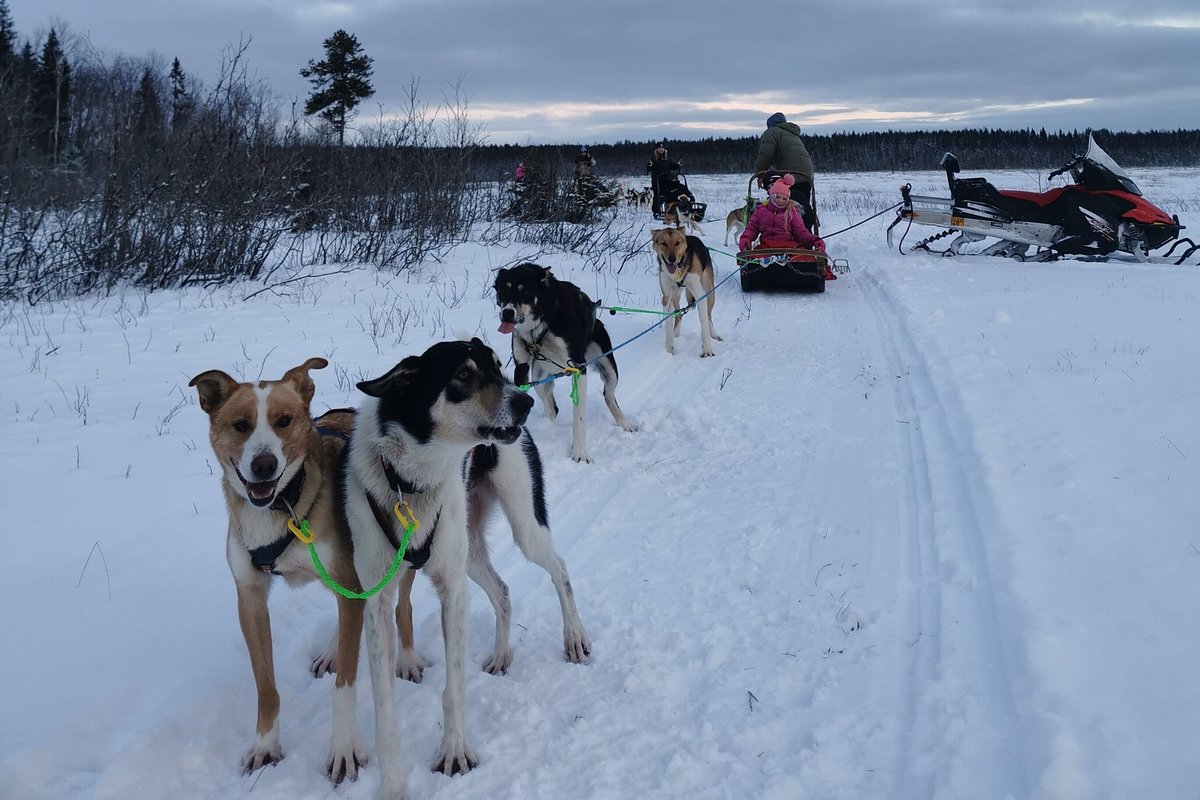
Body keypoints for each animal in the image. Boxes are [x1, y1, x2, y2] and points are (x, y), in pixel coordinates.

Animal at [186, 359, 364, 786]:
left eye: (284, 420)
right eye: (241, 425)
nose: (263, 465)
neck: (283, 506)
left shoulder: (348, 579)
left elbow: (345, 685)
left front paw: (343, 748)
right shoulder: (249, 598)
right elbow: (266, 687)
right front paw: (266, 746)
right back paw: (332, 650)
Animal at [338, 338, 590, 800]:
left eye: (496, 366)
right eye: (462, 375)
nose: (525, 401)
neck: (411, 480)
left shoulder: (452, 590)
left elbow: (453, 689)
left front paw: (454, 751)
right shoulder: (377, 602)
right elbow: (384, 712)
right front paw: (393, 785)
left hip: (523, 528)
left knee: (560, 569)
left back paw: (575, 637)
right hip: (470, 554)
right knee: (503, 592)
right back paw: (501, 655)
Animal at [492, 262, 638, 462]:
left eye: (525, 291)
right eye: (503, 291)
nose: (507, 313)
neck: (542, 322)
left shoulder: (578, 369)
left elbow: (579, 419)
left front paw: (580, 453)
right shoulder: (521, 368)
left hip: (609, 369)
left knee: (609, 396)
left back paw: (624, 423)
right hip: (538, 377)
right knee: (552, 406)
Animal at [657, 227, 720, 359]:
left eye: (677, 243)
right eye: (663, 243)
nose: (672, 259)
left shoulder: (700, 294)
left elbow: (703, 321)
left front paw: (707, 350)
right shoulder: (666, 298)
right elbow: (668, 324)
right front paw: (669, 349)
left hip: (710, 292)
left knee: (708, 316)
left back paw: (714, 334)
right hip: (676, 294)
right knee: (678, 314)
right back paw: (676, 332)